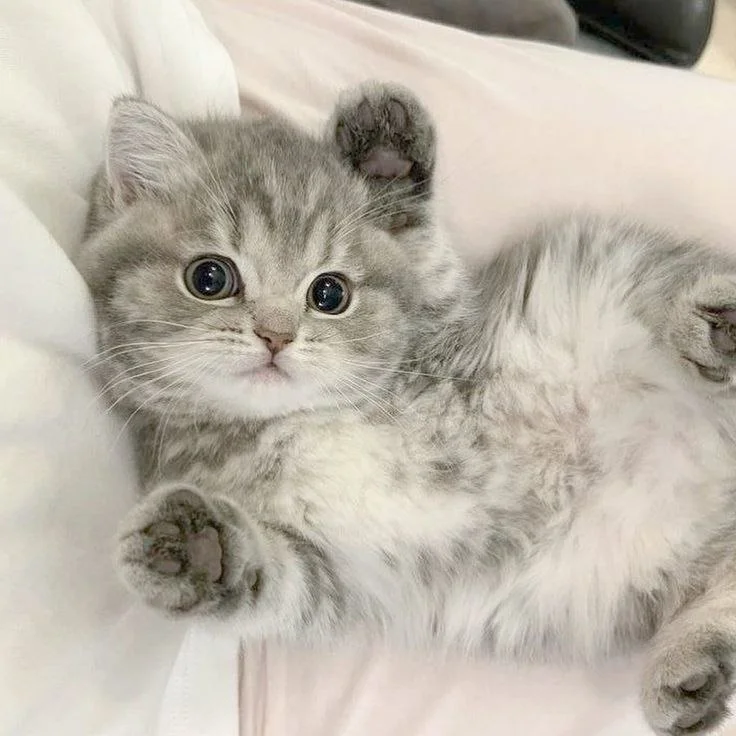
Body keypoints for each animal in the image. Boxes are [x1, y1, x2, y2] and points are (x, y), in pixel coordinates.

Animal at [78, 82, 736, 736]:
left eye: (330, 293)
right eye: (209, 278)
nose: (275, 336)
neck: (298, 419)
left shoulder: (449, 322)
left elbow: (429, 255)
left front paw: (385, 154)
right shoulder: (336, 571)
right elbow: (279, 584)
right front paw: (198, 550)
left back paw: (712, 326)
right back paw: (693, 666)